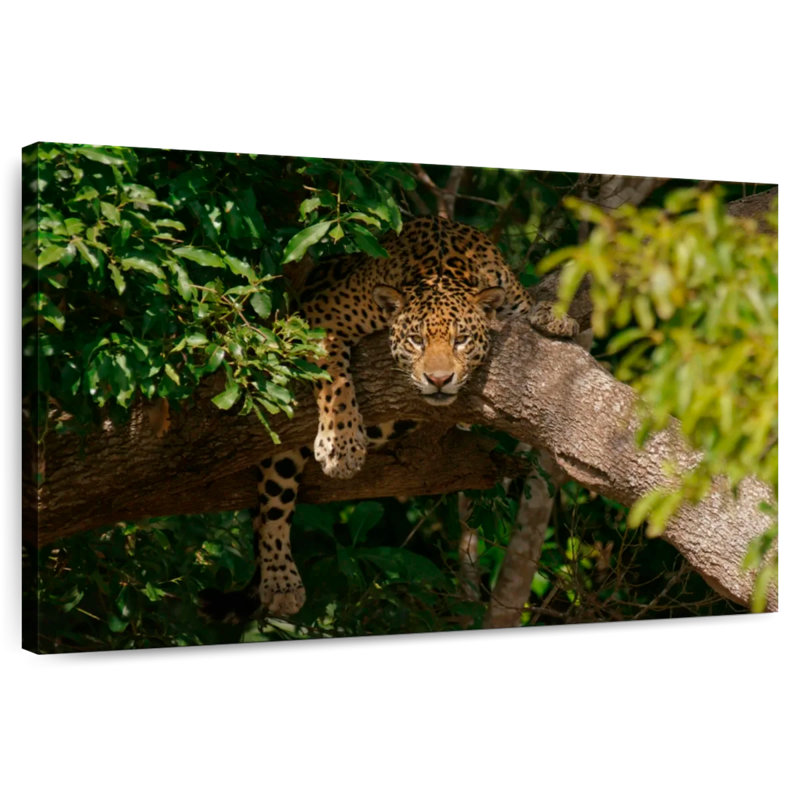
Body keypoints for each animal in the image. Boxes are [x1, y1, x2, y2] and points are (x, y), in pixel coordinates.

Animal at [202, 216, 578, 620]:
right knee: (271, 512)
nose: (439, 380)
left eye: (461, 340)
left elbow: (528, 307)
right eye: (416, 340)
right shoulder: (320, 318)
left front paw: (556, 317)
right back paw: (281, 582)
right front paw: (342, 445)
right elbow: (334, 379)